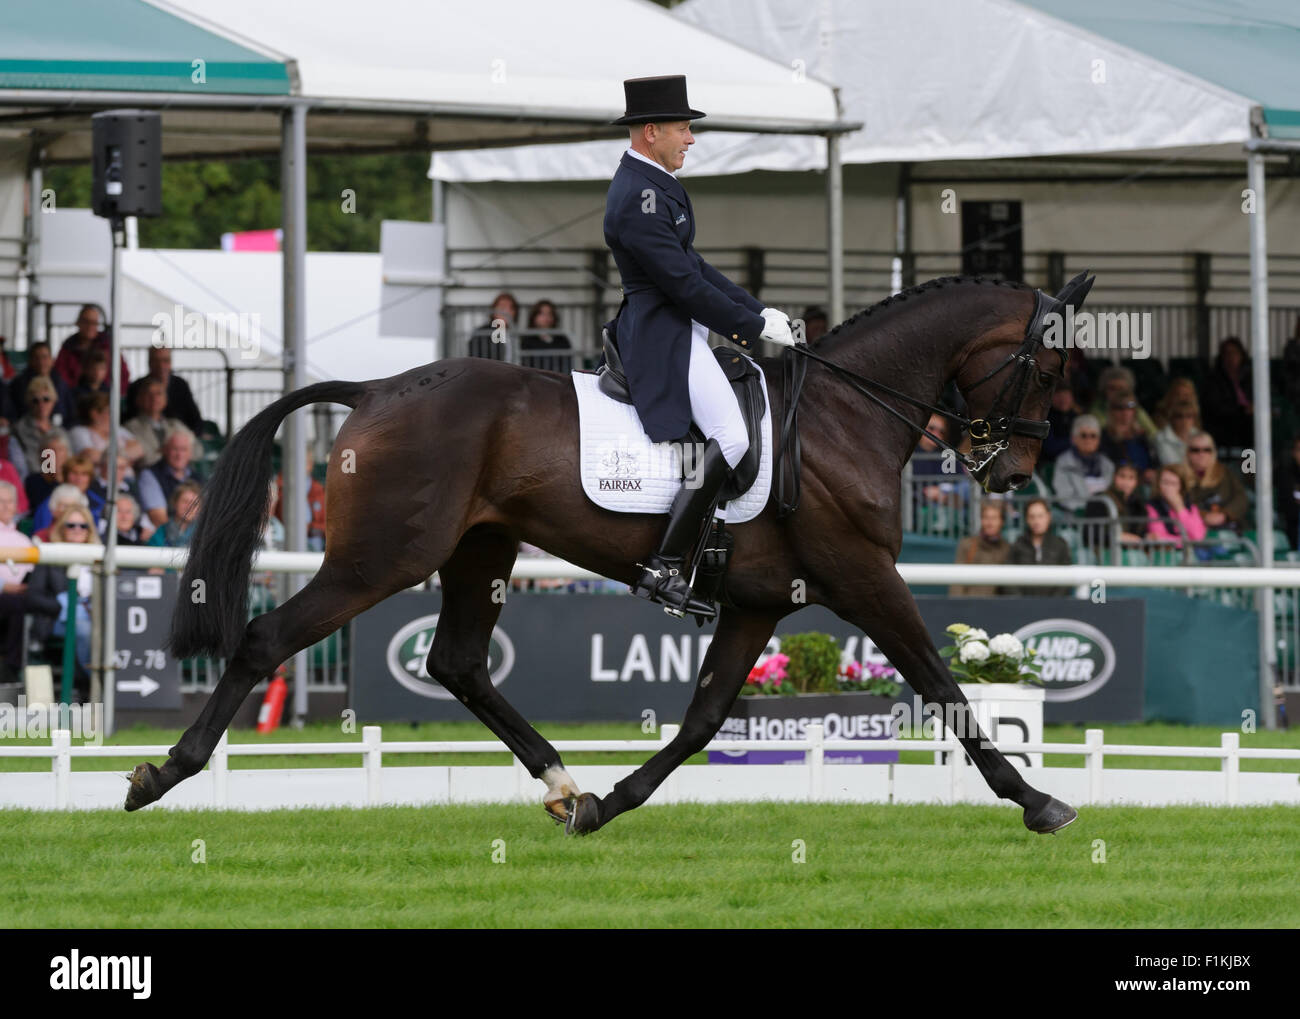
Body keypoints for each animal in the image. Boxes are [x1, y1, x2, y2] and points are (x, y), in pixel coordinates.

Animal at [129, 274, 1086, 831]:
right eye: (1048, 369)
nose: (1015, 471)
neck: (842, 416)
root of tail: (376, 388)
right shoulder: (866, 579)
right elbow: (946, 687)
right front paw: (1038, 800)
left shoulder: (757, 602)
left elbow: (704, 717)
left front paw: (607, 803)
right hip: (378, 560)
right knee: (268, 639)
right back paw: (163, 773)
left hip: (481, 552)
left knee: (457, 662)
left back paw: (562, 784)